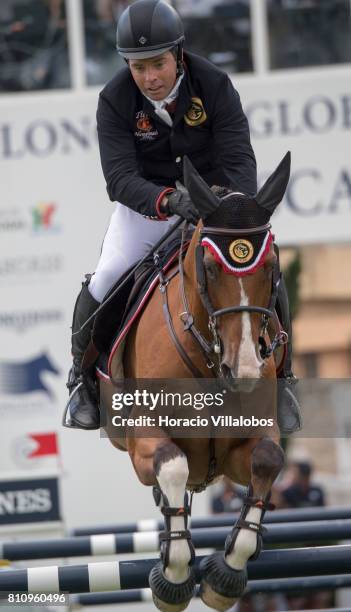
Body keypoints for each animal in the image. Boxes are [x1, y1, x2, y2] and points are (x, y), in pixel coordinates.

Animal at [99, 154, 292, 612]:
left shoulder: (247, 443)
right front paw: (172, 577)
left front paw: (225, 576)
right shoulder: (142, 440)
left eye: (272, 267)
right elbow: (172, 463)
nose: (244, 371)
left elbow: (268, 459)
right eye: (208, 268)